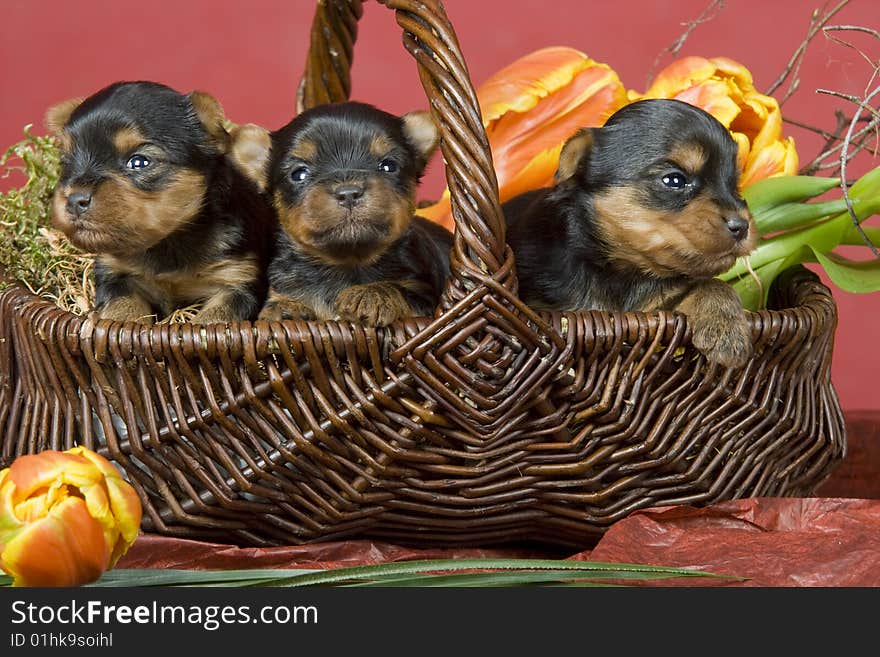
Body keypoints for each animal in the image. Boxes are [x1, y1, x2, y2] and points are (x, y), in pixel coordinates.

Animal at [46, 80, 274, 324]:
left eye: (139, 162)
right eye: (65, 161)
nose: (74, 199)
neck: (167, 241)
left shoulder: (238, 279)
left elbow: (216, 319)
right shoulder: (115, 273)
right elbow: (123, 307)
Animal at [230, 100, 454, 326]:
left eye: (389, 166)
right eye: (299, 174)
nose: (348, 193)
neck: (347, 261)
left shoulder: (424, 295)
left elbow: (400, 289)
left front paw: (371, 293)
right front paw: (286, 307)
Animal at [502, 97, 756, 366]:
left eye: (734, 184)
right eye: (674, 180)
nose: (742, 226)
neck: (624, 269)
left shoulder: (661, 305)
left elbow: (712, 283)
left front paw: (727, 330)